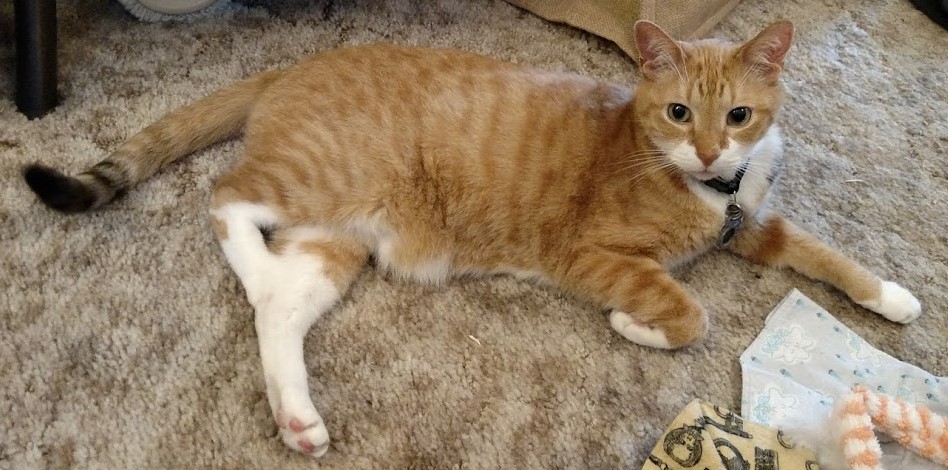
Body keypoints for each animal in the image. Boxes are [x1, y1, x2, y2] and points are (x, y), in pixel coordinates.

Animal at [25, 20, 924, 458]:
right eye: (678, 113)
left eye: (738, 115)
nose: (707, 151)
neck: (711, 193)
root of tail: (297, 66)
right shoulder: (594, 256)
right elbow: (690, 315)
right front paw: (635, 325)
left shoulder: (757, 225)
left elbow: (823, 253)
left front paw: (893, 296)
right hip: (319, 182)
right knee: (224, 199)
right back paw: (245, 258)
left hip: (336, 240)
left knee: (276, 305)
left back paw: (297, 416)